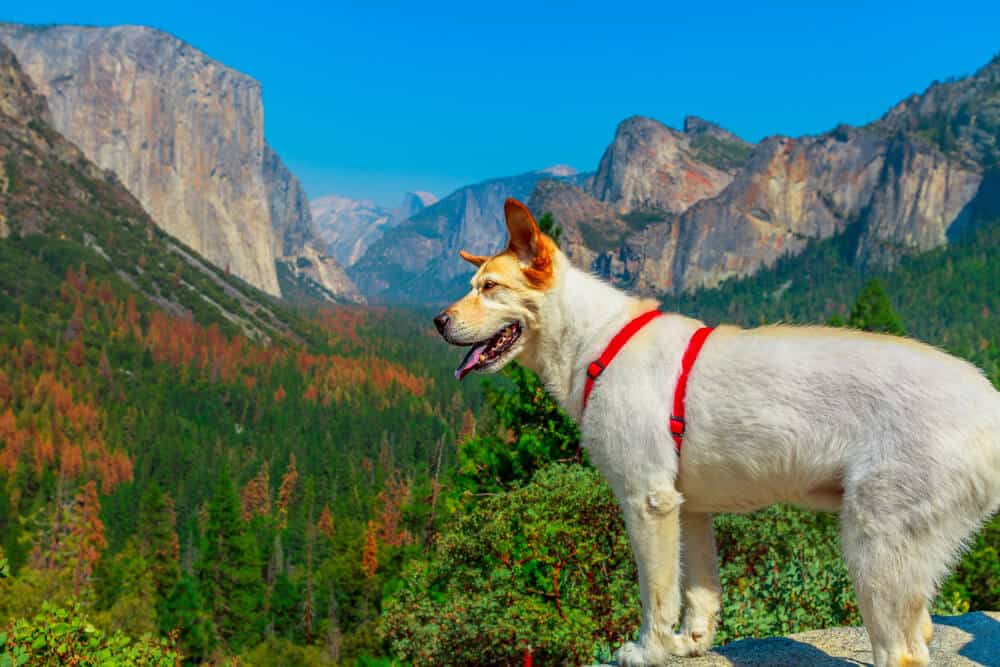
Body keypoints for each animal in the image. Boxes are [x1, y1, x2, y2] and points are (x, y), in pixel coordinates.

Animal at [434, 198, 1000, 667]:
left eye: (490, 288)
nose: (437, 321)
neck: (597, 340)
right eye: (472, 284)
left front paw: (650, 651)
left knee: (901, 652)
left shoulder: (647, 502)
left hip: (873, 545)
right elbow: (700, 591)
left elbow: (656, 593)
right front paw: (690, 643)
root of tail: (987, 400)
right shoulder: (689, 509)